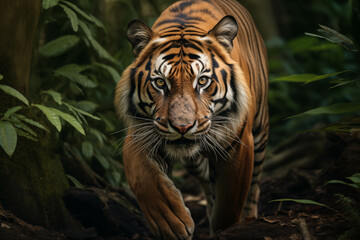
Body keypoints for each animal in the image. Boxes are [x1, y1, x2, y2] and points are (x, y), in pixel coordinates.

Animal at [114, 0, 268, 238]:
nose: (182, 127)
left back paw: (250, 217)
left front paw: (223, 230)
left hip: (260, 134)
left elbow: (229, 205)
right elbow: (144, 178)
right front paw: (171, 223)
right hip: (193, 161)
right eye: (160, 83)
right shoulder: (140, 134)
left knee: (254, 187)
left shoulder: (239, 144)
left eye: (202, 81)